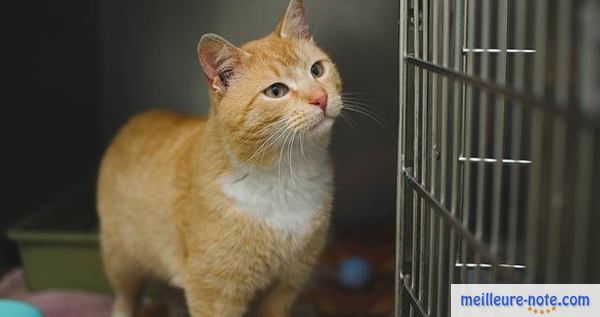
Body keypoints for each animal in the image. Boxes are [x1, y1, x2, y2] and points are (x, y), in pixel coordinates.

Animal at [98, 1, 342, 314]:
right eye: (276, 91)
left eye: (317, 69)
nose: (321, 98)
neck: (285, 175)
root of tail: (138, 117)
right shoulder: (213, 292)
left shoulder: (286, 285)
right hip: (121, 260)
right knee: (126, 297)